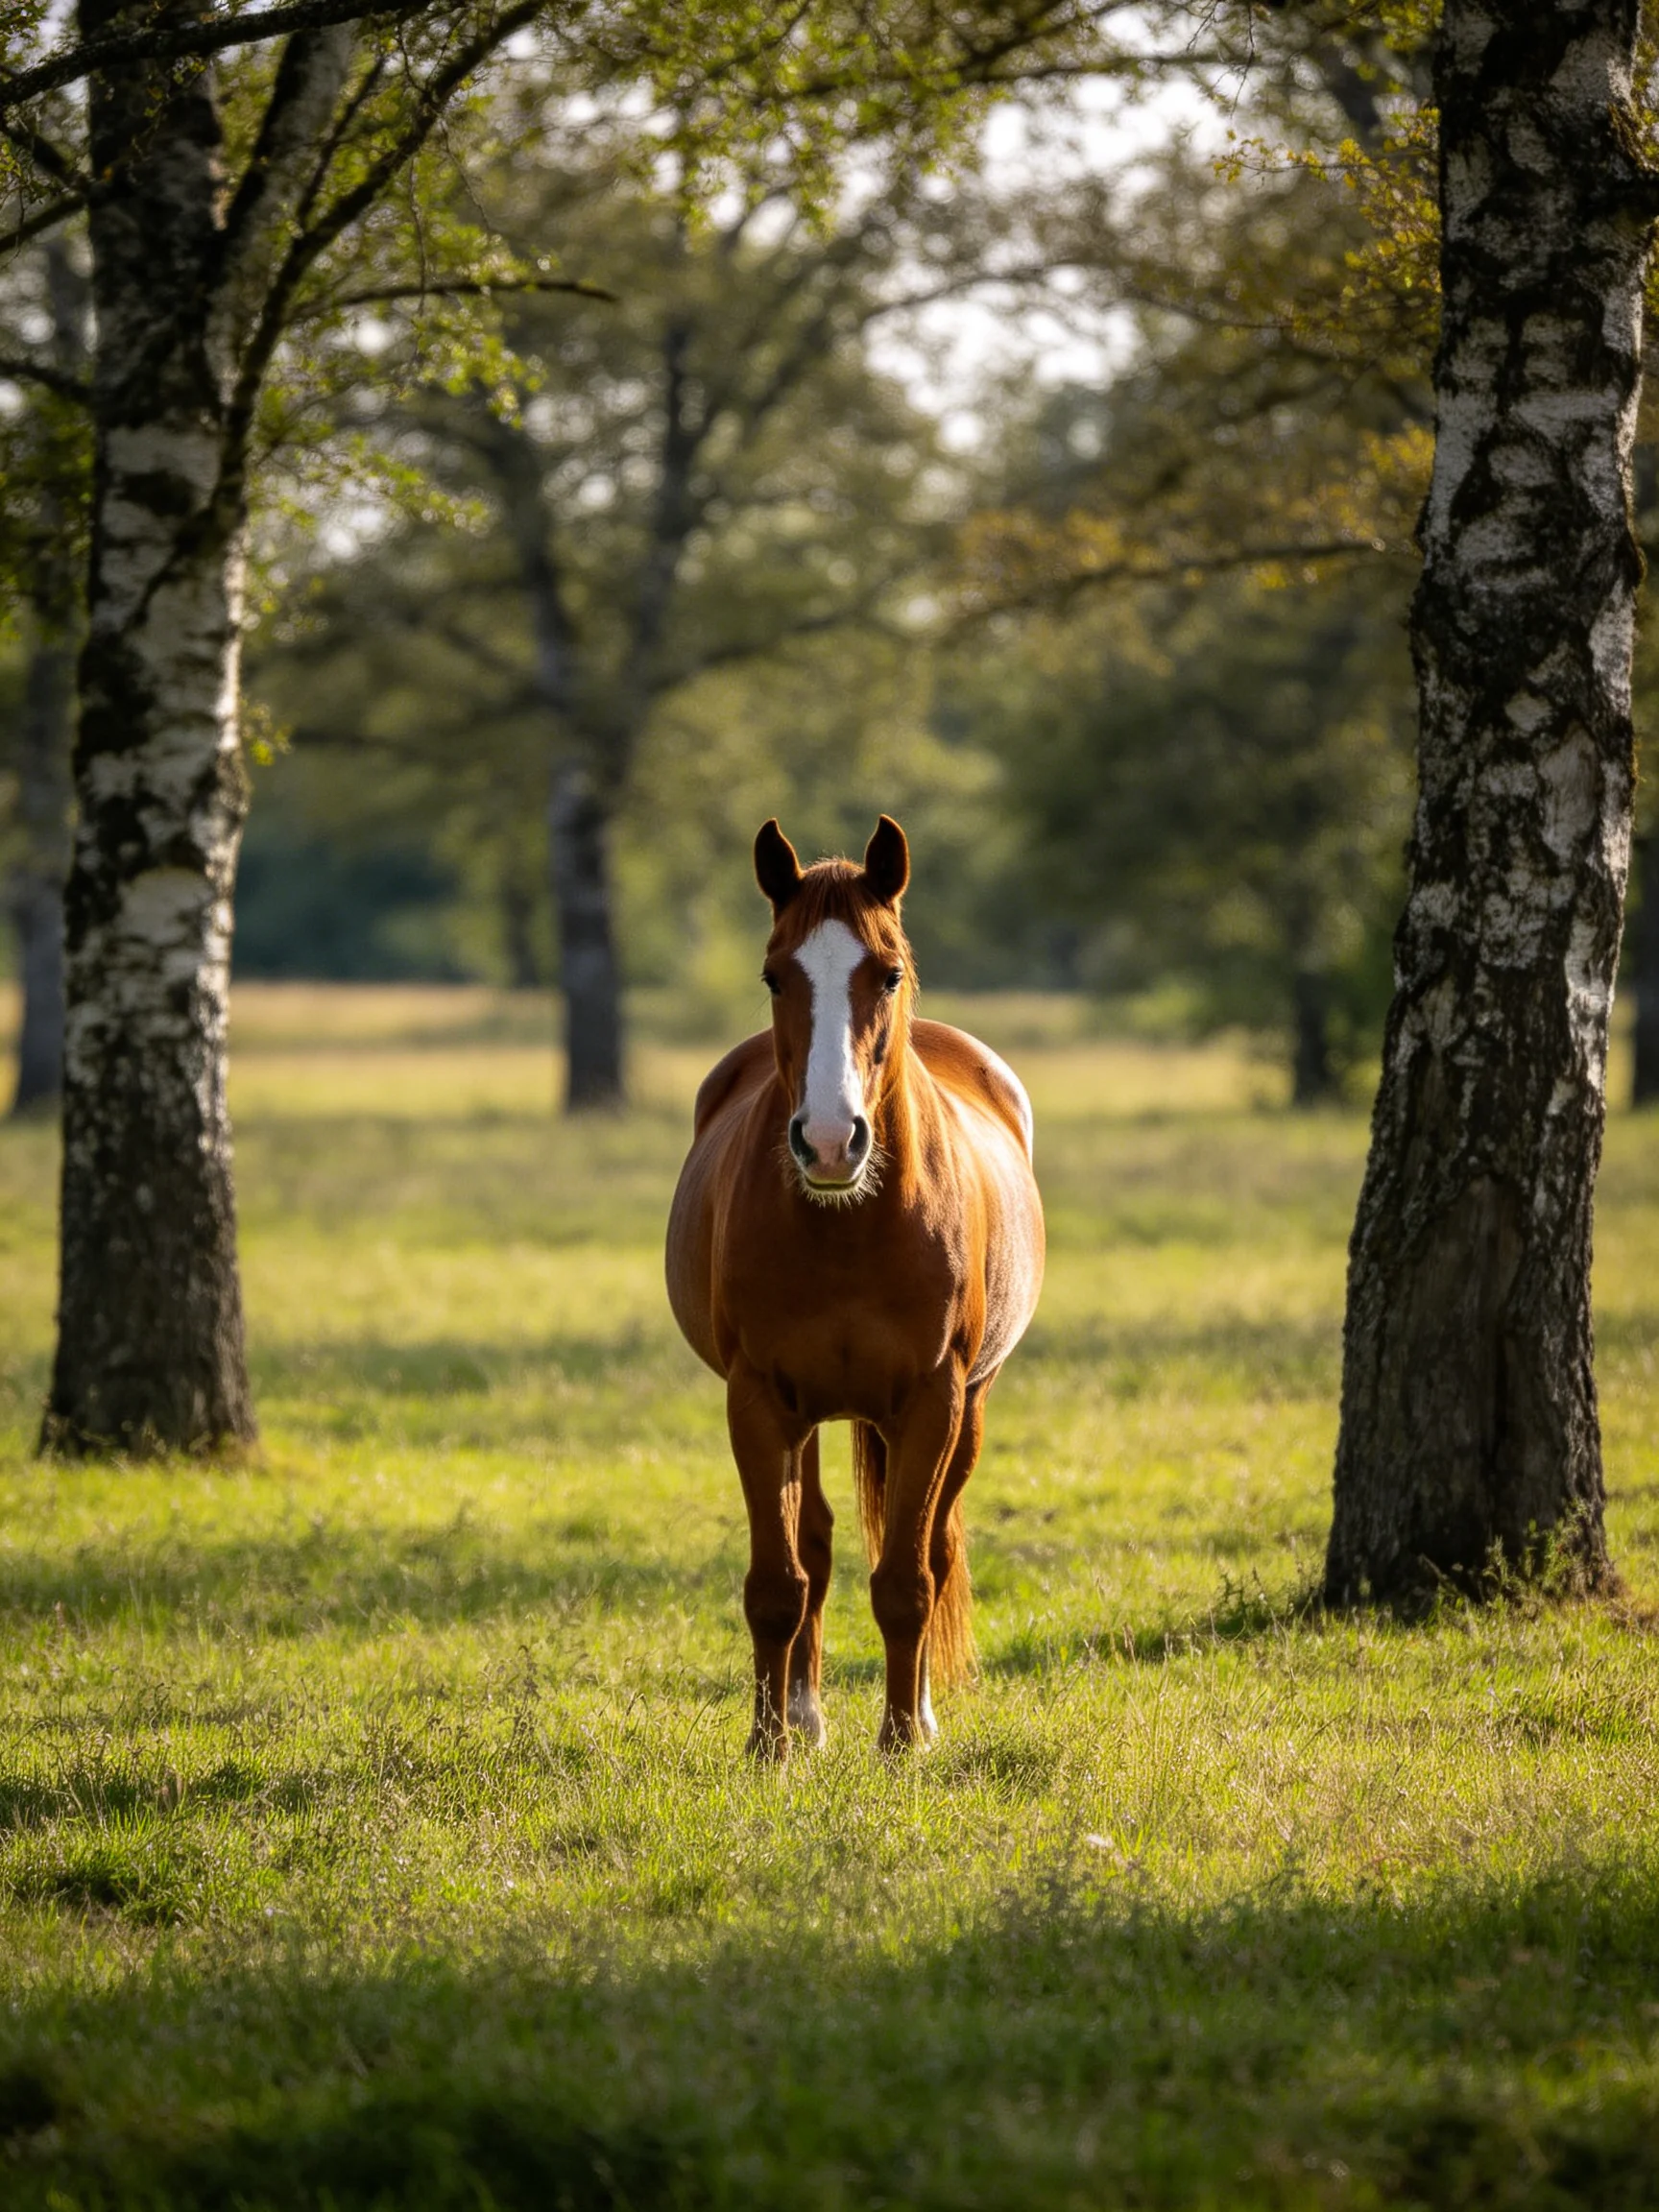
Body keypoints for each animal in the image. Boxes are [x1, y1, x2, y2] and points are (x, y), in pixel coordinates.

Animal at [664, 815, 1045, 1757]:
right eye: (774, 974)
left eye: (890, 971)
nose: (831, 1142)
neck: (848, 1226)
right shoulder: (758, 1401)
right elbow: (779, 1580)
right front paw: (768, 1745)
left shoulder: (934, 1400)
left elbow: (909, 1579)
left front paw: (903, 1740)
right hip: (806, 1417)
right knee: (817, 1545)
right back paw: (804, 1713)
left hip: (970, 1406)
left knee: (933, 1547)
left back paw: (922, 1713)